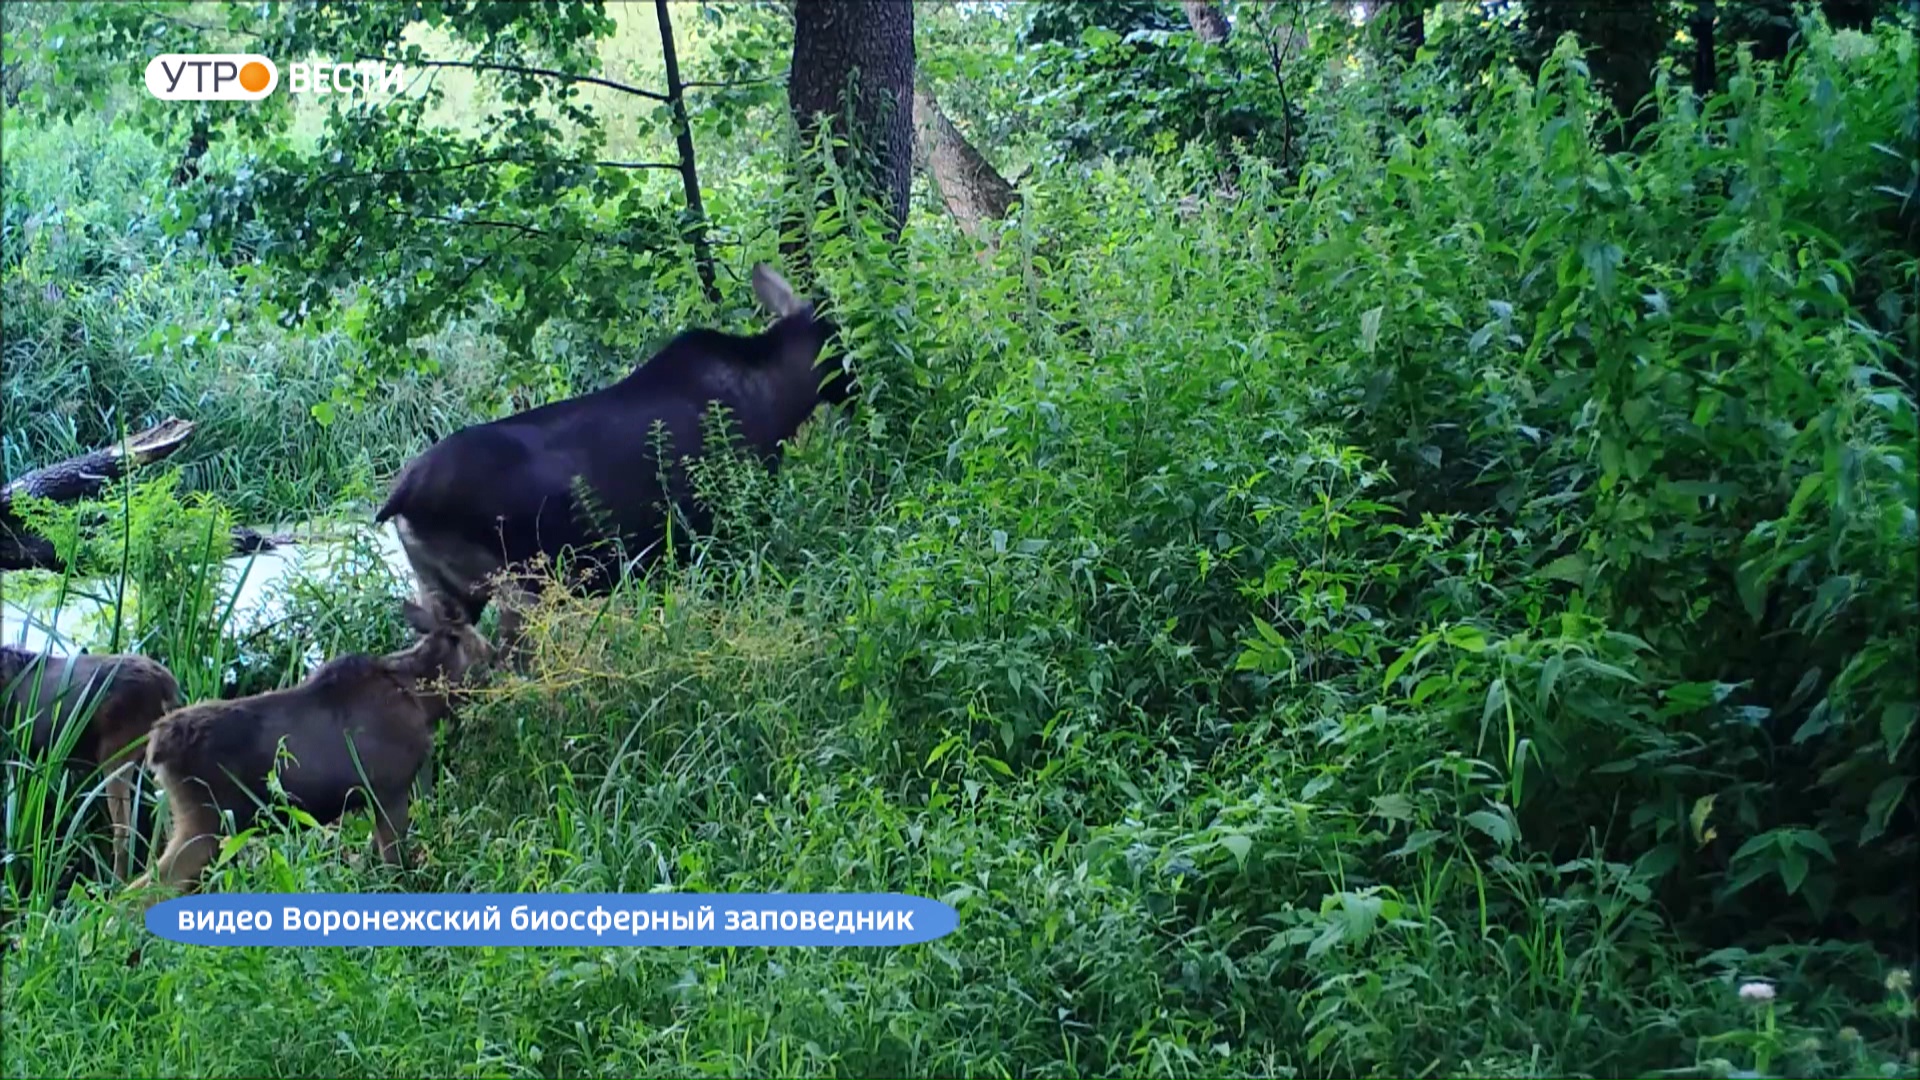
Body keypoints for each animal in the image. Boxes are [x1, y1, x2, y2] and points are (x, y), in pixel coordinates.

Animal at [130, 595, 491, 891]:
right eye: (482, 648)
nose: (497, 656)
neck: (424, 699)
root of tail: (156, 748)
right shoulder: (390, 788)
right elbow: (395, 866)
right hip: (206, 822)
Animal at [374, 265, 856, 661]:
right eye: (840, 338)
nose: (857, 386)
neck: (780, 404)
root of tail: (399, 500)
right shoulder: (723, 532)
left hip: (441, 588)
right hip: (519, 583)